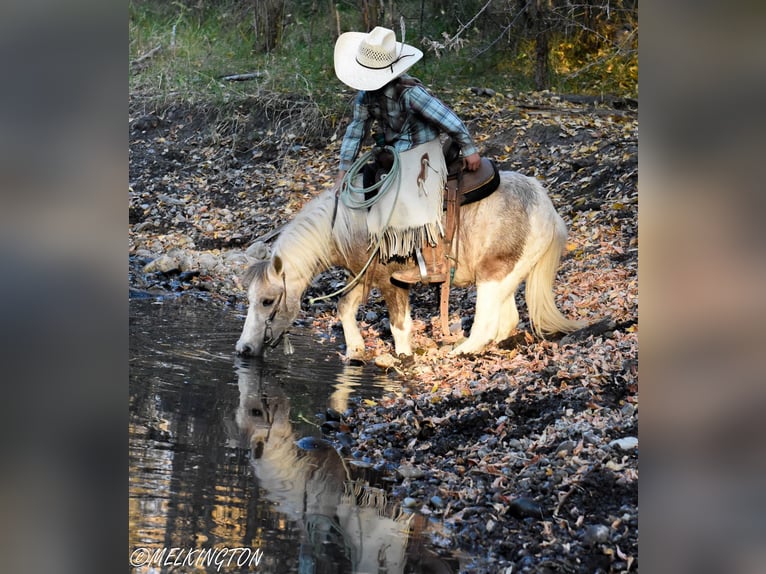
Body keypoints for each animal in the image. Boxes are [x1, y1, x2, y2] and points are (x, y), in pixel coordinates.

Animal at [237, 171, 584, 360]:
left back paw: (458, 352)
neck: (351, 225)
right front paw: (355, 349)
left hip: (494, 277)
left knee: (487, 324)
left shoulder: (391, 281)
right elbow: (345, 308)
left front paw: (403, 357)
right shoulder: (362, 276)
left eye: (267, 300)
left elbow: (399, 326)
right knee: (507, 321)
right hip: (507, 278)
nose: (243, 349)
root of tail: (545, 207)